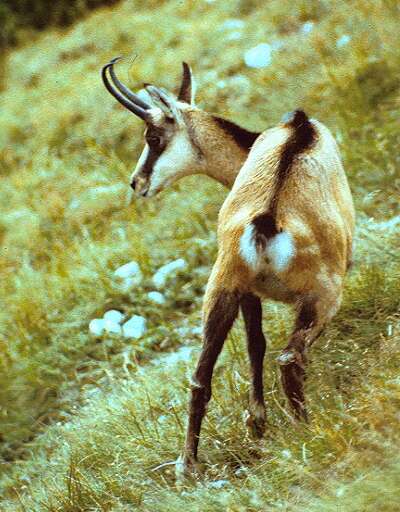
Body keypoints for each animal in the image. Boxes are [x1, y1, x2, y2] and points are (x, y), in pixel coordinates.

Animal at [101, 58, 355, 476]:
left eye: (153, 137)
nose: (137, 183)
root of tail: (267, 219)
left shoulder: (244, 291)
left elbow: (254, 344)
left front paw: (256, 422)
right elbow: (258, 344)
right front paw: (257, 421)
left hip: (222, 287)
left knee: (200, 378)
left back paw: (187, 465)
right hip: (323, 295)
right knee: (288, 357)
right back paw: (306, 427)